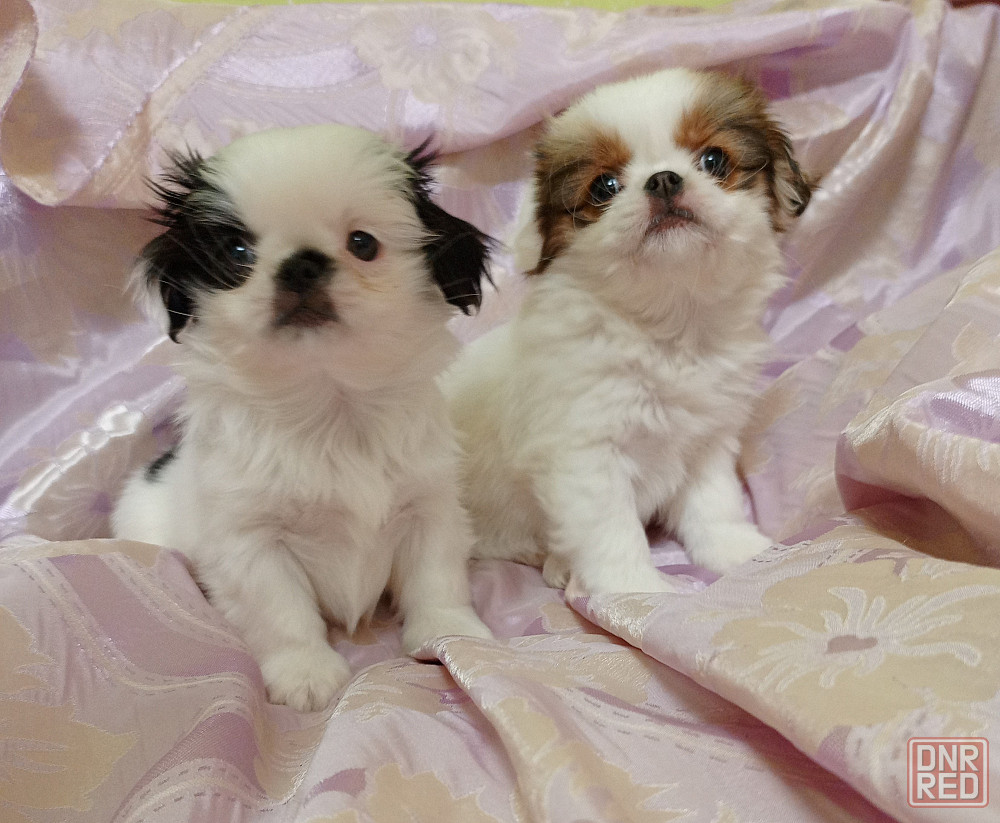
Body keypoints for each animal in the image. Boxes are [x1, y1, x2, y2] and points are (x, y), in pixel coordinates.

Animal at [113, 125, 494, 712]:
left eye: (363, 244)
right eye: (238, 253)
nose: (300, 263)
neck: (329, 405)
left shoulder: (429, 506)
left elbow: (437, 580)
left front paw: (452, 634)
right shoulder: (251, 540)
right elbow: (281, 611)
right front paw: (305, 673)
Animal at [444, 68, 813, 596]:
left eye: (714, 160)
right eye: (604, 187)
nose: (663, 179)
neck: (666, 328)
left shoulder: (708, 438)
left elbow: (713, 503)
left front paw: (737, 551)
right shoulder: (586, 455)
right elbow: (611, 532)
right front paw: (635, 593)